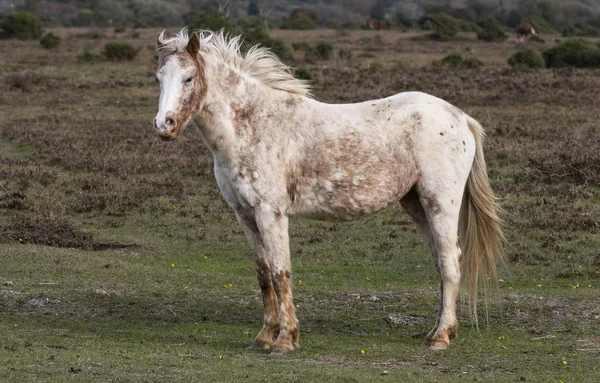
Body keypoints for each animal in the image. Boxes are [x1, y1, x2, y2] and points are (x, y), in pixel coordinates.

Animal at [152, 28, 504, 356]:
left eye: (188, 77)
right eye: (158, 78)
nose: (163, 125)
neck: (252, 124)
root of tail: (460, 117)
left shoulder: (271, 213)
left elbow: (281, 274)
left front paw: (286, 340)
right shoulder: (245, 215)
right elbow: (263, 275)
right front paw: (264, 337)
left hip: (439, 203)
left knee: (449, 262)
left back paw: (442, 337)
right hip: (416, 204)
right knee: (441, 264)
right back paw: (435, 332)